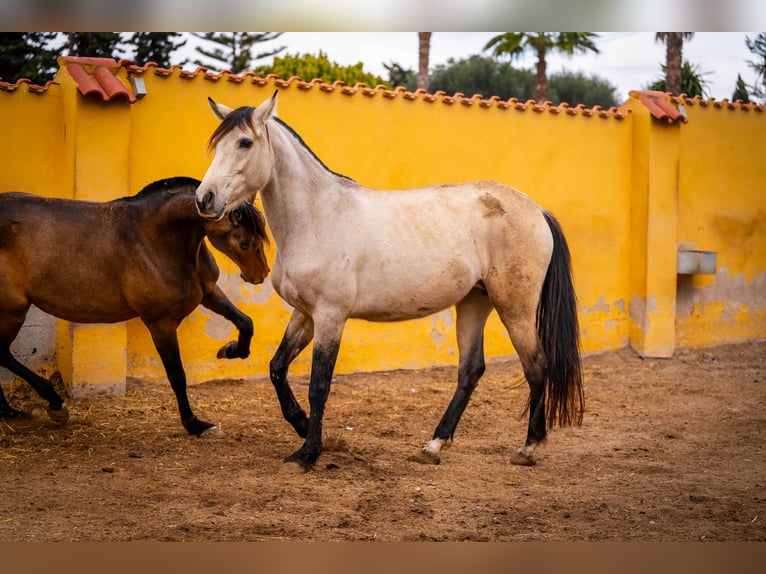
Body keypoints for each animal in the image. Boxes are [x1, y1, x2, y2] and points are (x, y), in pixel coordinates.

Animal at [0, 176, 270, 436]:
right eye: (244, 243)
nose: (261, 274)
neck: (155, 239)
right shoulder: (161, 323)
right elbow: (177, 375)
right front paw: (195, 424)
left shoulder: (209, 292)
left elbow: (246, 322)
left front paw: (230, 350)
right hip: (12, 311)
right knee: (2, 354)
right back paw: (53, 404)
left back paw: (12, 412)